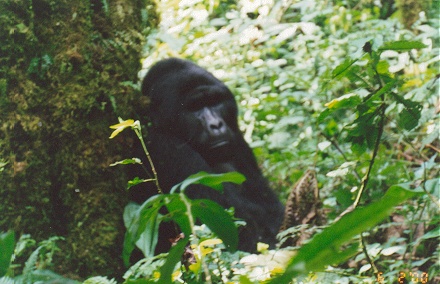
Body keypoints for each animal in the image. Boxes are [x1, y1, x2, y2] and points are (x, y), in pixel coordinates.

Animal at [132, 57, 284, 253]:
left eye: (215, 101)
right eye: (195, 107)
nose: (216, 125)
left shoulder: (236, 137)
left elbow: (272, 209)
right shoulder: (167, 148)